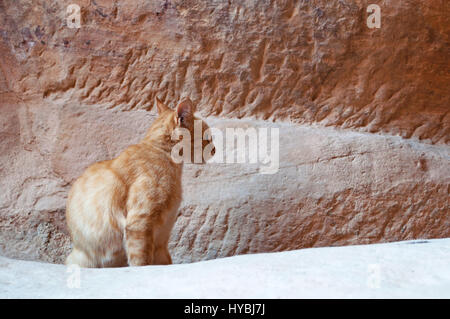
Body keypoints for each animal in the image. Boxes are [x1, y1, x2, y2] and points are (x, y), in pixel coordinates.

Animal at [65, 97, 214, 268]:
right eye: (208, 138)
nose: (215, 150)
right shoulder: (141, 223)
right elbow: (142, 263)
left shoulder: (161, 241)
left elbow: (165, 263)